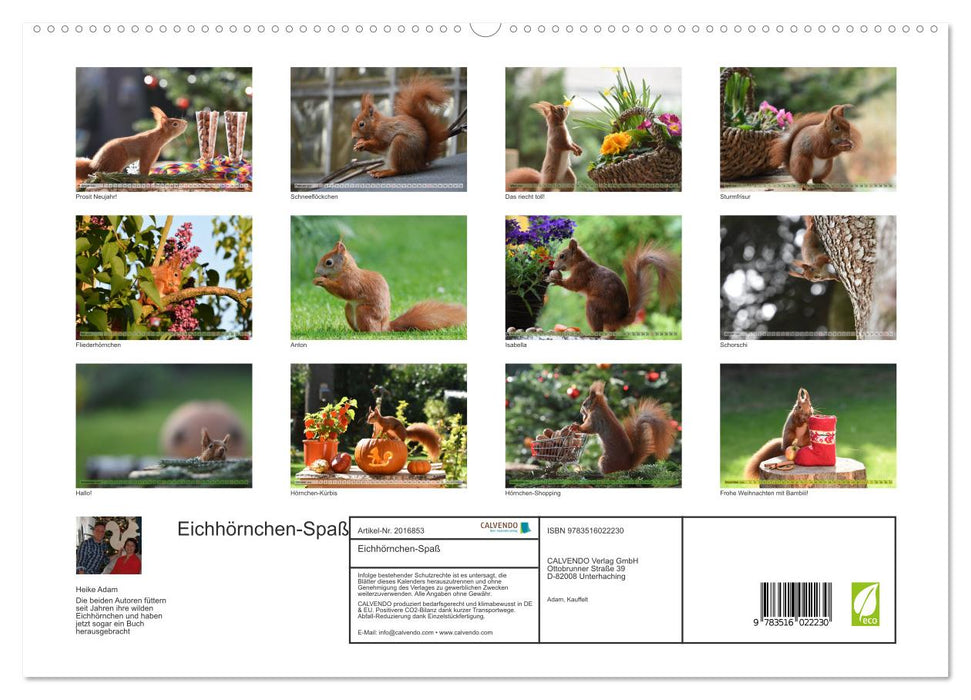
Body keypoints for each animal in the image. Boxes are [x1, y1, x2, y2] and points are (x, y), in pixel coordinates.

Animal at [313, 241, 466, 332]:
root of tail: (385, 327)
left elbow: (345, 291)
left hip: (364, 311)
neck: (345, 270)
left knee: (372, 331)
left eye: (328, 262)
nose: (315, 271)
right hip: (349, 308)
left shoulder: (353, 282)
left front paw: (322, 281)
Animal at [544, 239, 680, 334]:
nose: (553, 266)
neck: (580, 261)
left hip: (595, 306)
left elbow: (574, 285)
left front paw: (556, 280)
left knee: (598, 332)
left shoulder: (582, 273)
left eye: (562, 256)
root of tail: (618, 319)